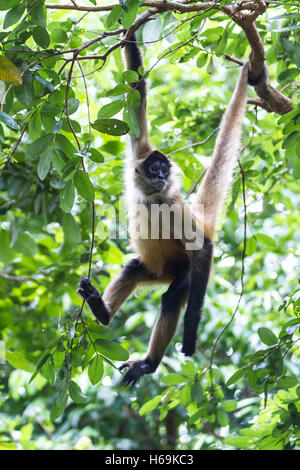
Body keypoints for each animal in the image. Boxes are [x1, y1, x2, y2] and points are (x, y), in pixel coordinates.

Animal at [77, 31, 260, 388]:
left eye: (164, 170)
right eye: (154, 169)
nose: (162, 176)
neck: (151, 197)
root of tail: (166, 271)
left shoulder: (173, 203)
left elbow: (205, 245)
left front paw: (190, 331)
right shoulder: (140, 156)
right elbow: (137, 91)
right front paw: (130, 31)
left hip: (185, 271)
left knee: (173, 296)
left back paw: (149, 363)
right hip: (156, 270)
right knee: (133, 267)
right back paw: (102, 312)